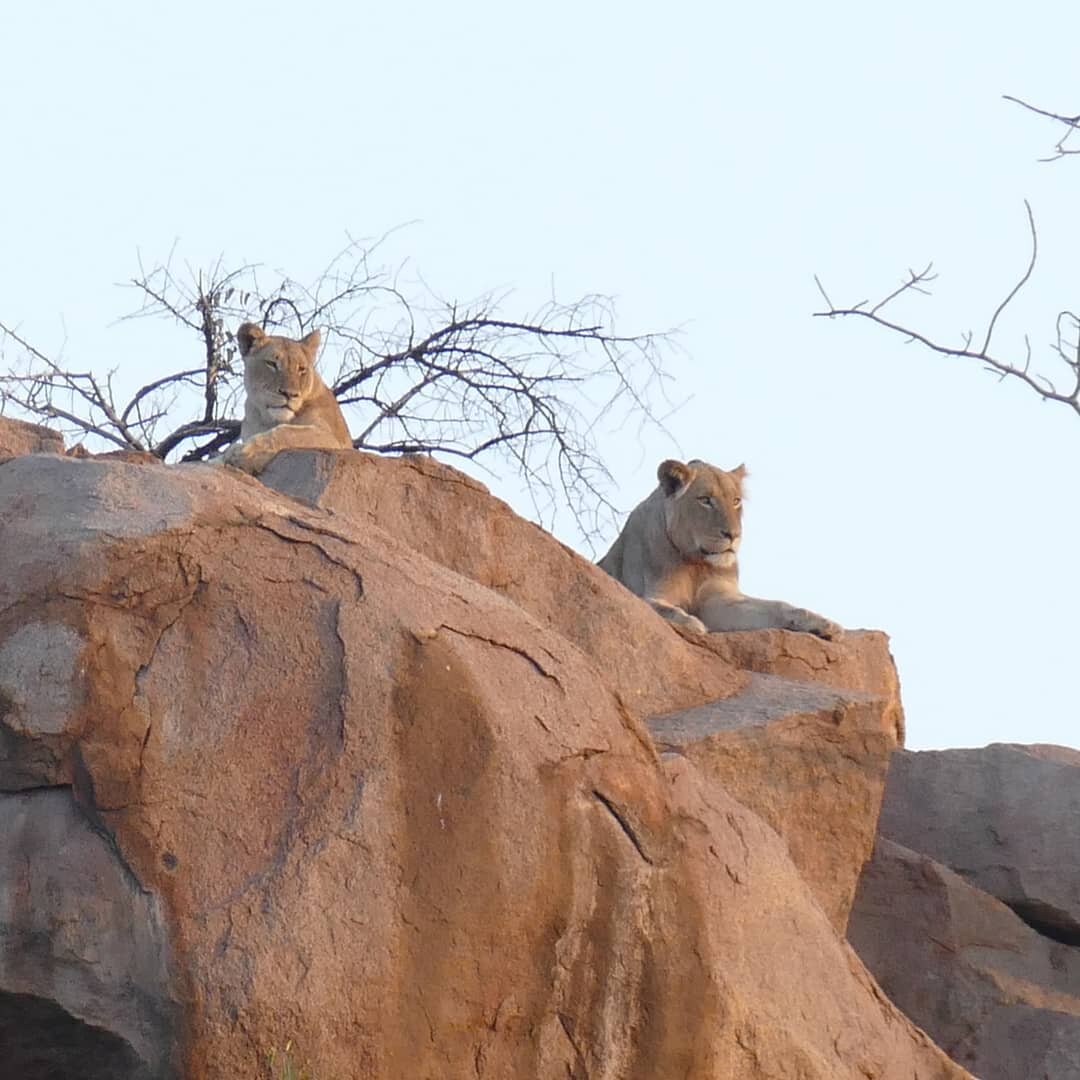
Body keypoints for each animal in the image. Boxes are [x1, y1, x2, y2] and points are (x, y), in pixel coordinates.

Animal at [220, 319, 352, 473]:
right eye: (272, 364)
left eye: (301, 369)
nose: (289, 394)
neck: (270, 420)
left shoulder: (331, 438)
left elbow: (287, 433)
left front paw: (245, 452)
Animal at [600, 457, 842, 639]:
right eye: (706, 500)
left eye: (736, 501)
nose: (733, 535)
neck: (695, 563)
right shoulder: (652, 593)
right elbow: (658, 607)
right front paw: (691, 623)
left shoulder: (718, 599)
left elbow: (775, 606)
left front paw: (823, 623)